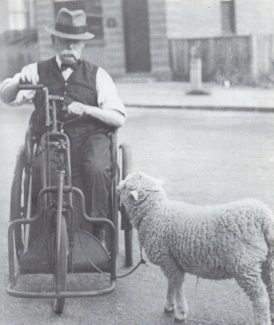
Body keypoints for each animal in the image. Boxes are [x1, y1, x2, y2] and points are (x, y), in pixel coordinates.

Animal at [118, 171, 274, 322]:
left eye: (125, 186)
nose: (117, 186)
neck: (154, 212)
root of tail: (264, 217)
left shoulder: (168, 260)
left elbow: (177, 285)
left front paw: (180, 312)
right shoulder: (171, 262)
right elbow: (171, 284)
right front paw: (170, 305)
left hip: (244, 264)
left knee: (260, 297)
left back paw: (263, 320)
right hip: (268, 260)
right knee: (271, 287)